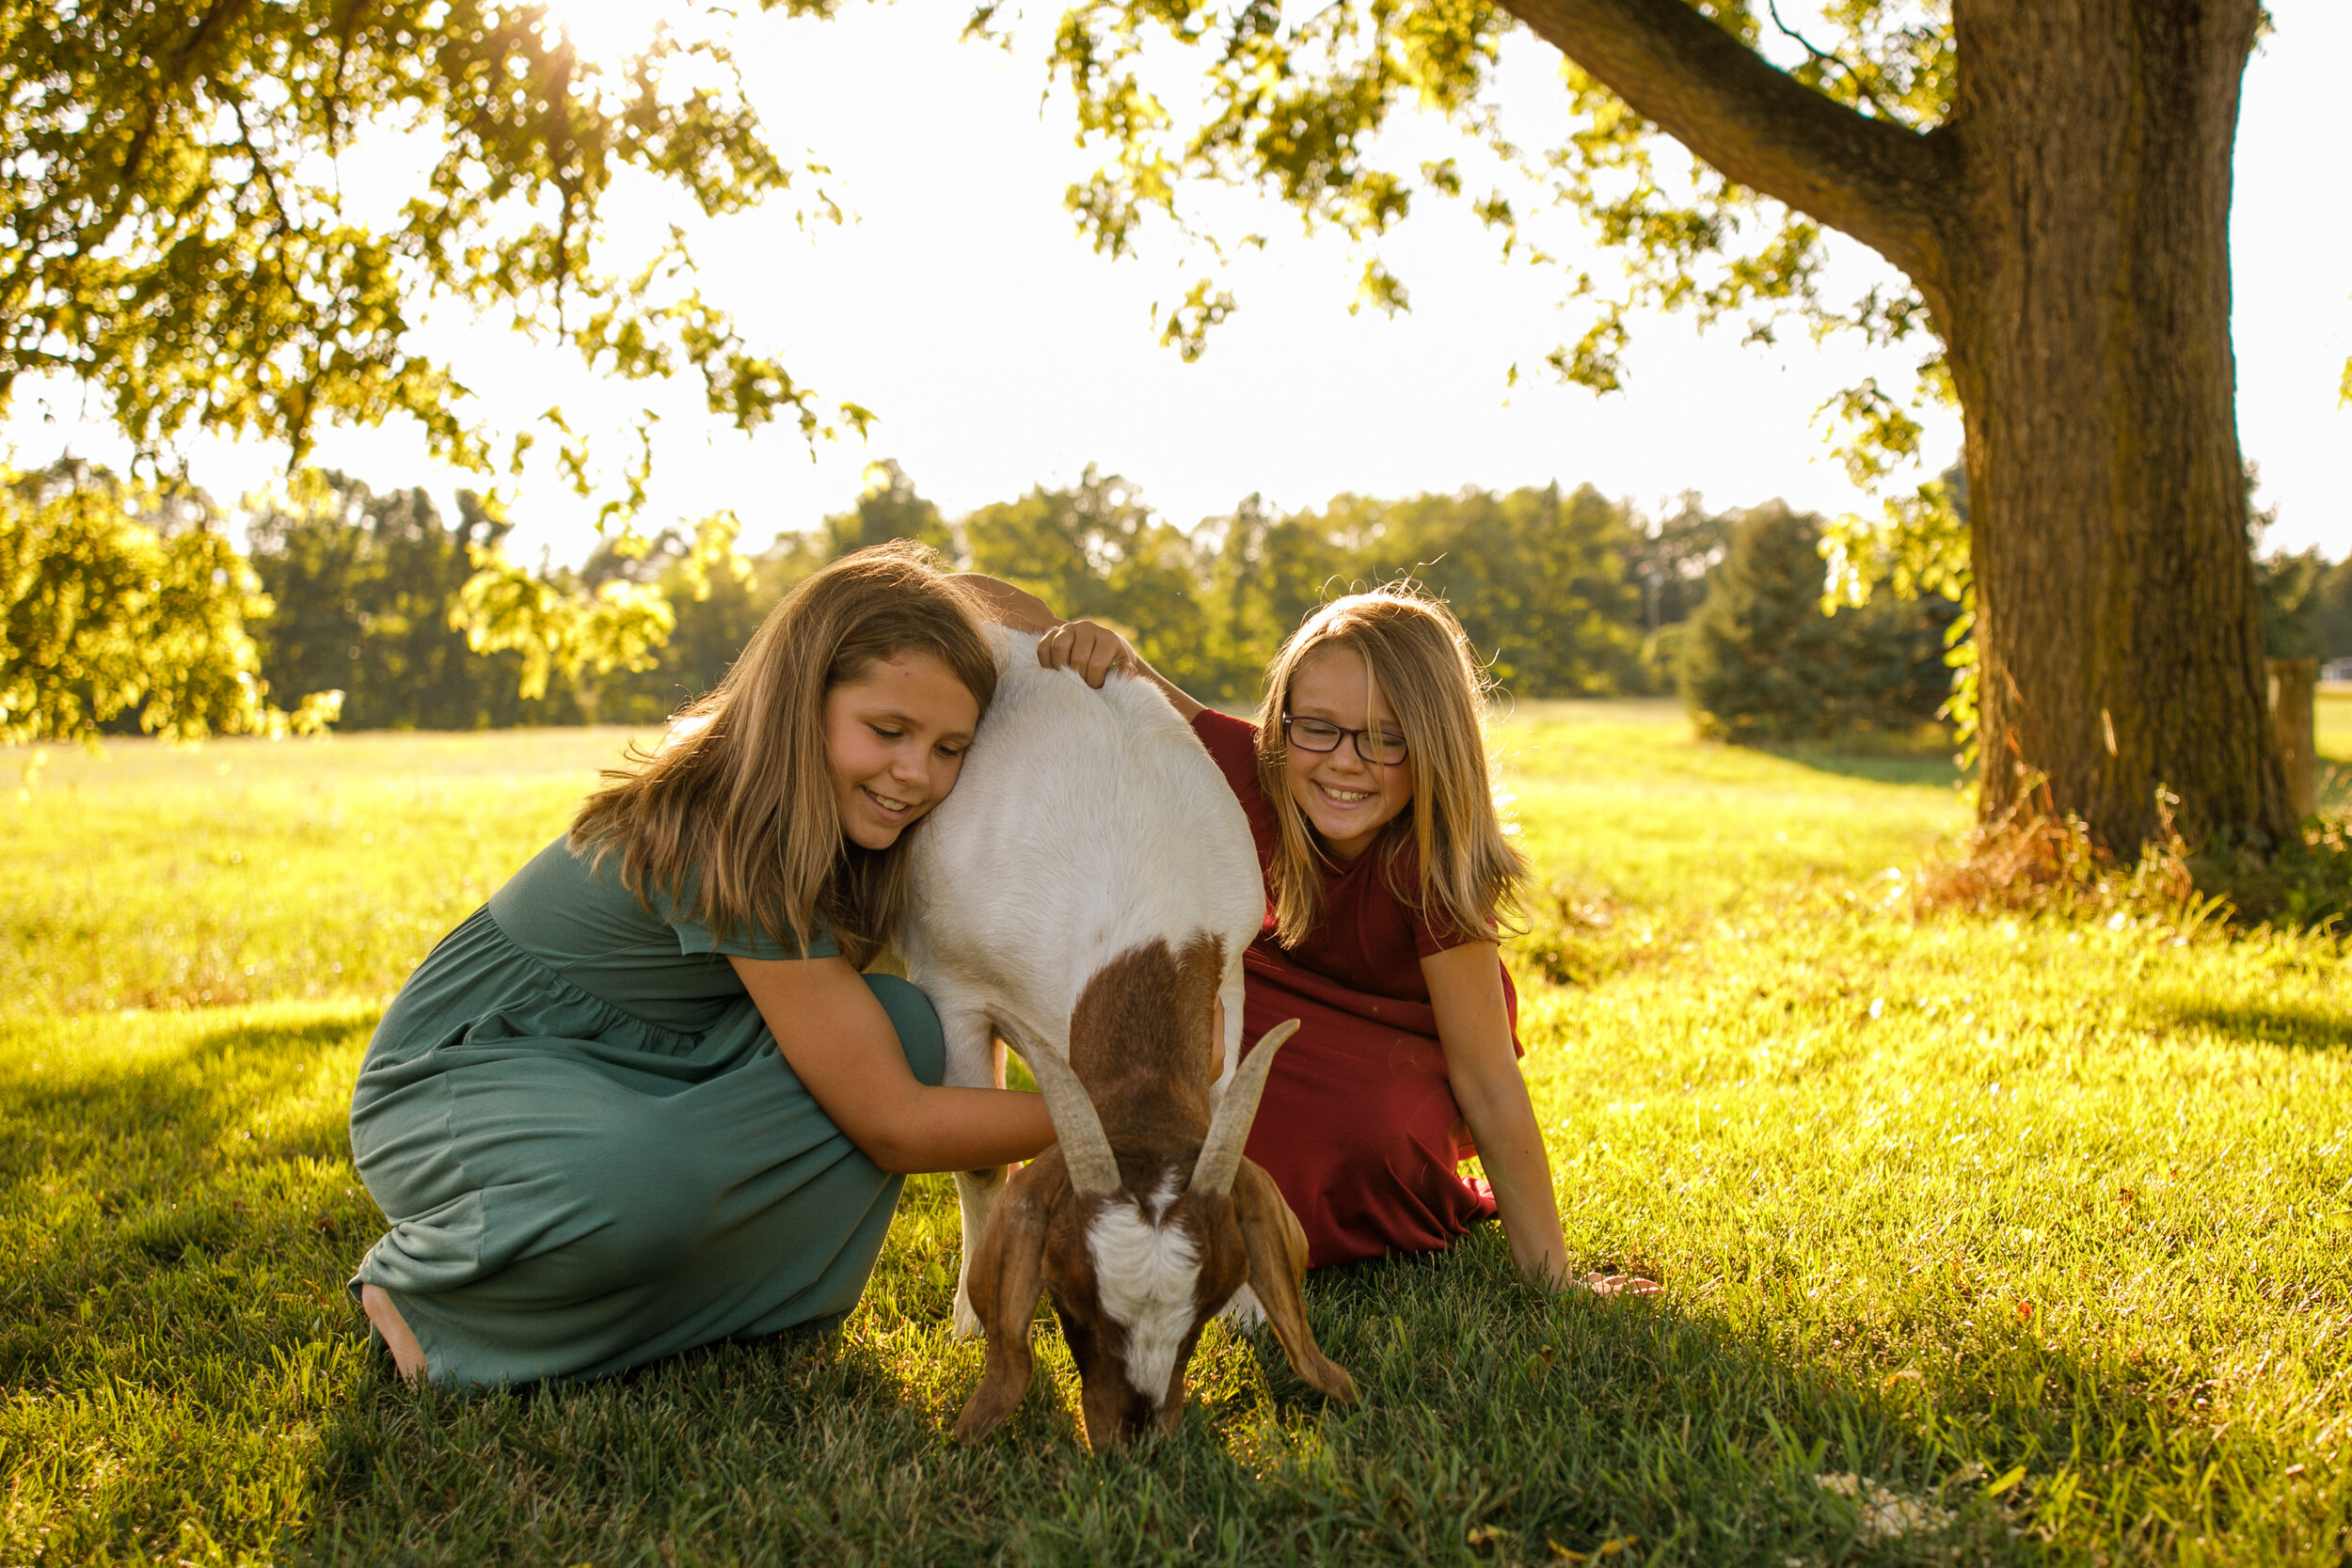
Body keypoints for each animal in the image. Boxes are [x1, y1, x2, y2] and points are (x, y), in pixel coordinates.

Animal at [898, 629, 1364, 1448]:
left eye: (1203, 1305)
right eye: (1065, 1294)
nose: (1137, 1432)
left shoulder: (1227, 978)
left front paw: (1251, 1309)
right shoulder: (950, 985)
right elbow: (981, 1163)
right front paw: (970, 1325)